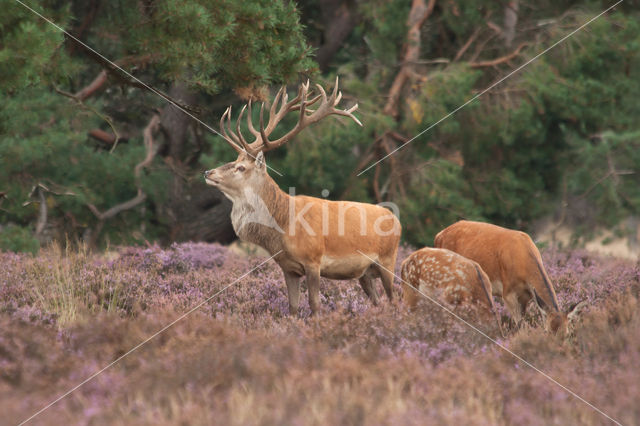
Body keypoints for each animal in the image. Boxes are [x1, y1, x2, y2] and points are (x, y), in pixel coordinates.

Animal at [436, 220, 584, 336]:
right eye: (547, 331)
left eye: (567, 333)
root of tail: (439, 235)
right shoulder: (507, 293)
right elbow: (519, 327)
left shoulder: (526, 297)